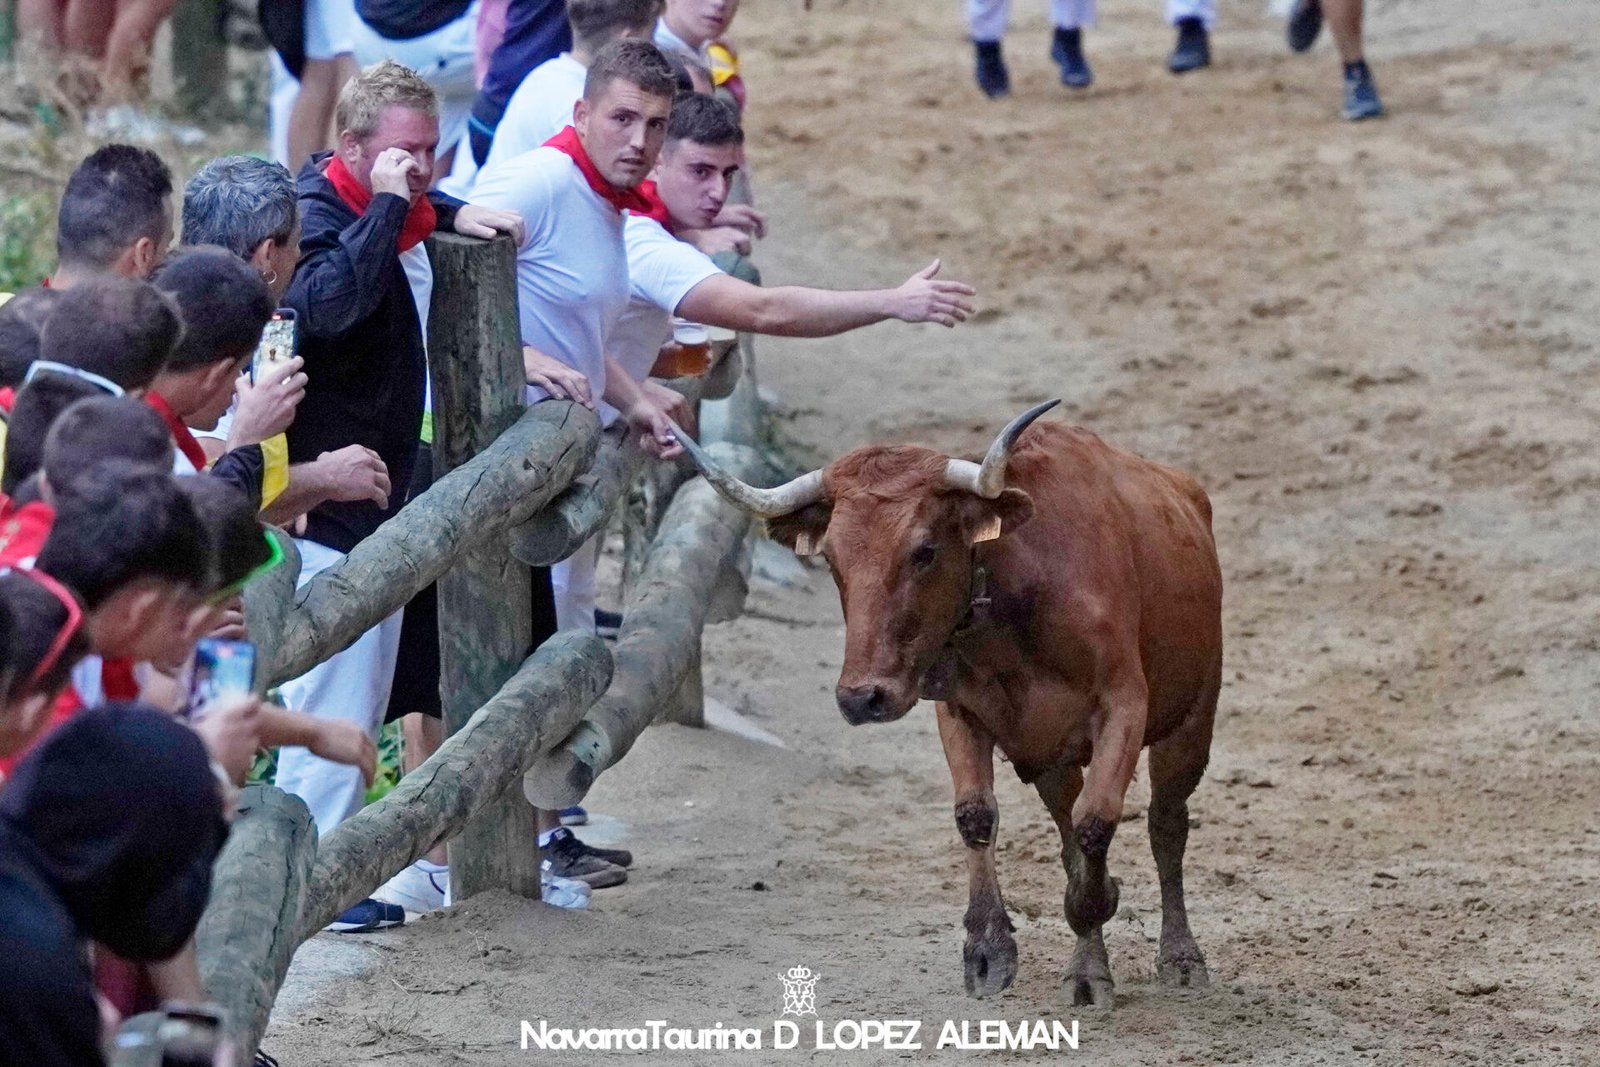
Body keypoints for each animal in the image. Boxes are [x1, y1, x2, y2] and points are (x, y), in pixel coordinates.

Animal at [678, 403, 1222, 1011]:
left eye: (924, 550)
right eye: (833, 559)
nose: (861, 697)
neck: (1016, 598)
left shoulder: (1124, 705)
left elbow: (1097, 824)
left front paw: (1094, 928)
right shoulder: (959, 711)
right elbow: (978, 815)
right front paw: (988, 951)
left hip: (1189, 725)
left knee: (1165, 825)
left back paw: (1179, 957)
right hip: (1053, 758)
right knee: (1069, 825)